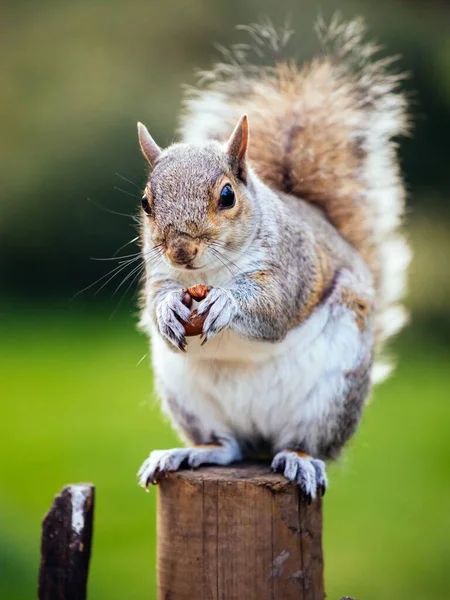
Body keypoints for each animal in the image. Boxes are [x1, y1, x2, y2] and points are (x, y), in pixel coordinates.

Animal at [135, 17, 410, 502]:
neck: (209, 273)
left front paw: (226, 303)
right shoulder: (160, 275)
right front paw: (167, 309)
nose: (181, 250)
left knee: (302, 442)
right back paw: (189, 453)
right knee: (227, 446)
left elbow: (274, 307)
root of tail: (261, 438)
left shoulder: (292, 264)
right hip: (188, 398)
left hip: (332, 395)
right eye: (147, 203)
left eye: (227, 196)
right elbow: (156, 303)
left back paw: (300, 460)